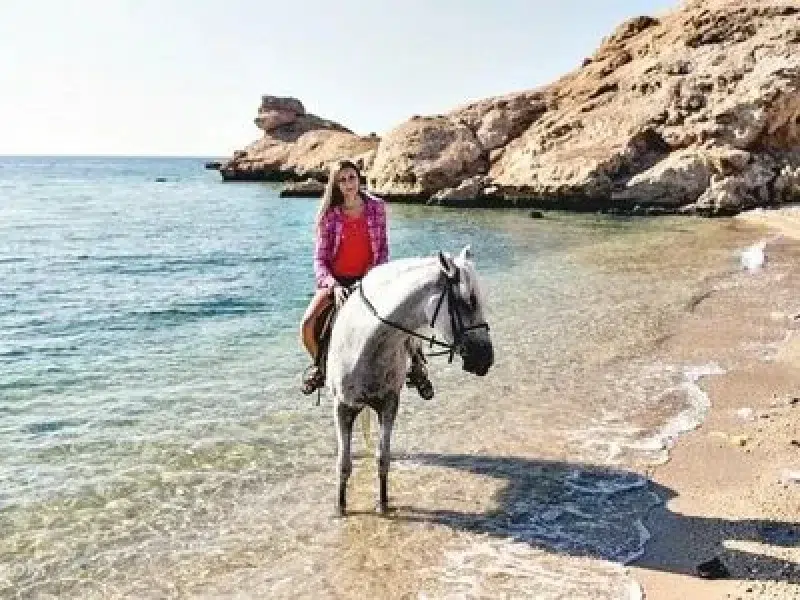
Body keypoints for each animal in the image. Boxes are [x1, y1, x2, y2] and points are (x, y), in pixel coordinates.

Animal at [325, 245, 494, 516]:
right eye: (467, 302)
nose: (485, 359)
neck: (367, 343)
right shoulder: (343, 407)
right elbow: (344, 463)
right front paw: (340, 507)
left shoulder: (389, 404)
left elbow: (383, 458)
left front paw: (383, 503)